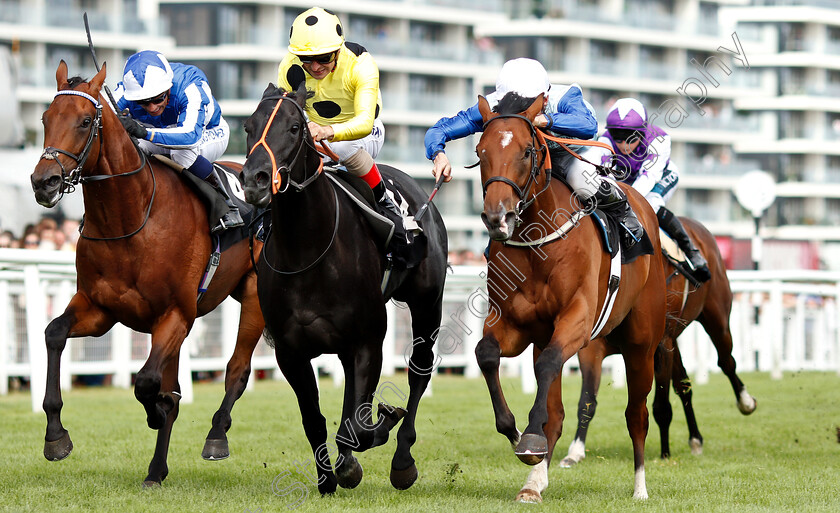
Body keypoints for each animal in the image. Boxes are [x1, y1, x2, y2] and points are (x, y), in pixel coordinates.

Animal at [29, 60, 264, 484]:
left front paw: (157, 410)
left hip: (254, 295)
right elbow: (53, 332)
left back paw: (216, 435)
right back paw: (157, 469)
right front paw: (55, 436)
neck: (132, 218)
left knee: (236, 370)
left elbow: (147, 382)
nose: (44, 181)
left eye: (85, 121)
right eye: (45, 118)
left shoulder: (176, 315)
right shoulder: (99, 309)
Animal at [240, 83, 450, 492]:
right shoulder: (290, 352)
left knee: (419, 369)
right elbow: (316, 421)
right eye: (247, 126)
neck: (308, 251)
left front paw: (376, 431)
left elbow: (360, 423)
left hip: (427, 303)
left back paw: (403, 462)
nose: (254, 180)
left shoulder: (368, 340)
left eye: (294, 128)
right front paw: (328, 479)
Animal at [476, 94, 668, 502]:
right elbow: (487, 354)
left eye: (527, 150)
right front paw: (516, 432)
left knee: (637, 415)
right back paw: (534, 483)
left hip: (641, 345)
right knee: (558, 410)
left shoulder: (577, 321)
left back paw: (640, 487)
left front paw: (529, 438)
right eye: (480, 151)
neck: (538, 243)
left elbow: (550, 363)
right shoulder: (514, 325)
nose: (498, 217)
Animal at [560, 215, 756, 464]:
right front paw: (575, 451)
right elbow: (587, 401)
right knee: (684, 385)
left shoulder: (660, 346)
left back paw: (745, 402)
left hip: (717, 319)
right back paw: (695, 439)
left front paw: (664, 454)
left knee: (726, 362)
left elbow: (661, 405)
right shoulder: (592, 349)